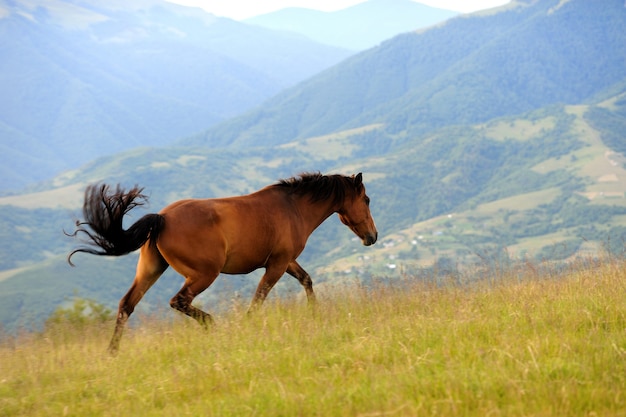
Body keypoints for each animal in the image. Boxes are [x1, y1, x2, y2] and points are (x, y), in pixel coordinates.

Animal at [70, 171, 378, 352]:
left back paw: (112, 352)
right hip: (204, 274)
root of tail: (163, 218)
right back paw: (212, 325)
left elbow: (307, 280)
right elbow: (259, 298)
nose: (372, 237)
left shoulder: (286, 261)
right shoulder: (277, 265)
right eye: (367, 199)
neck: (293, 209)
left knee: (127, 305)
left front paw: (315, 314)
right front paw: (247, 327)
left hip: (151, 269)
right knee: (179, 301)